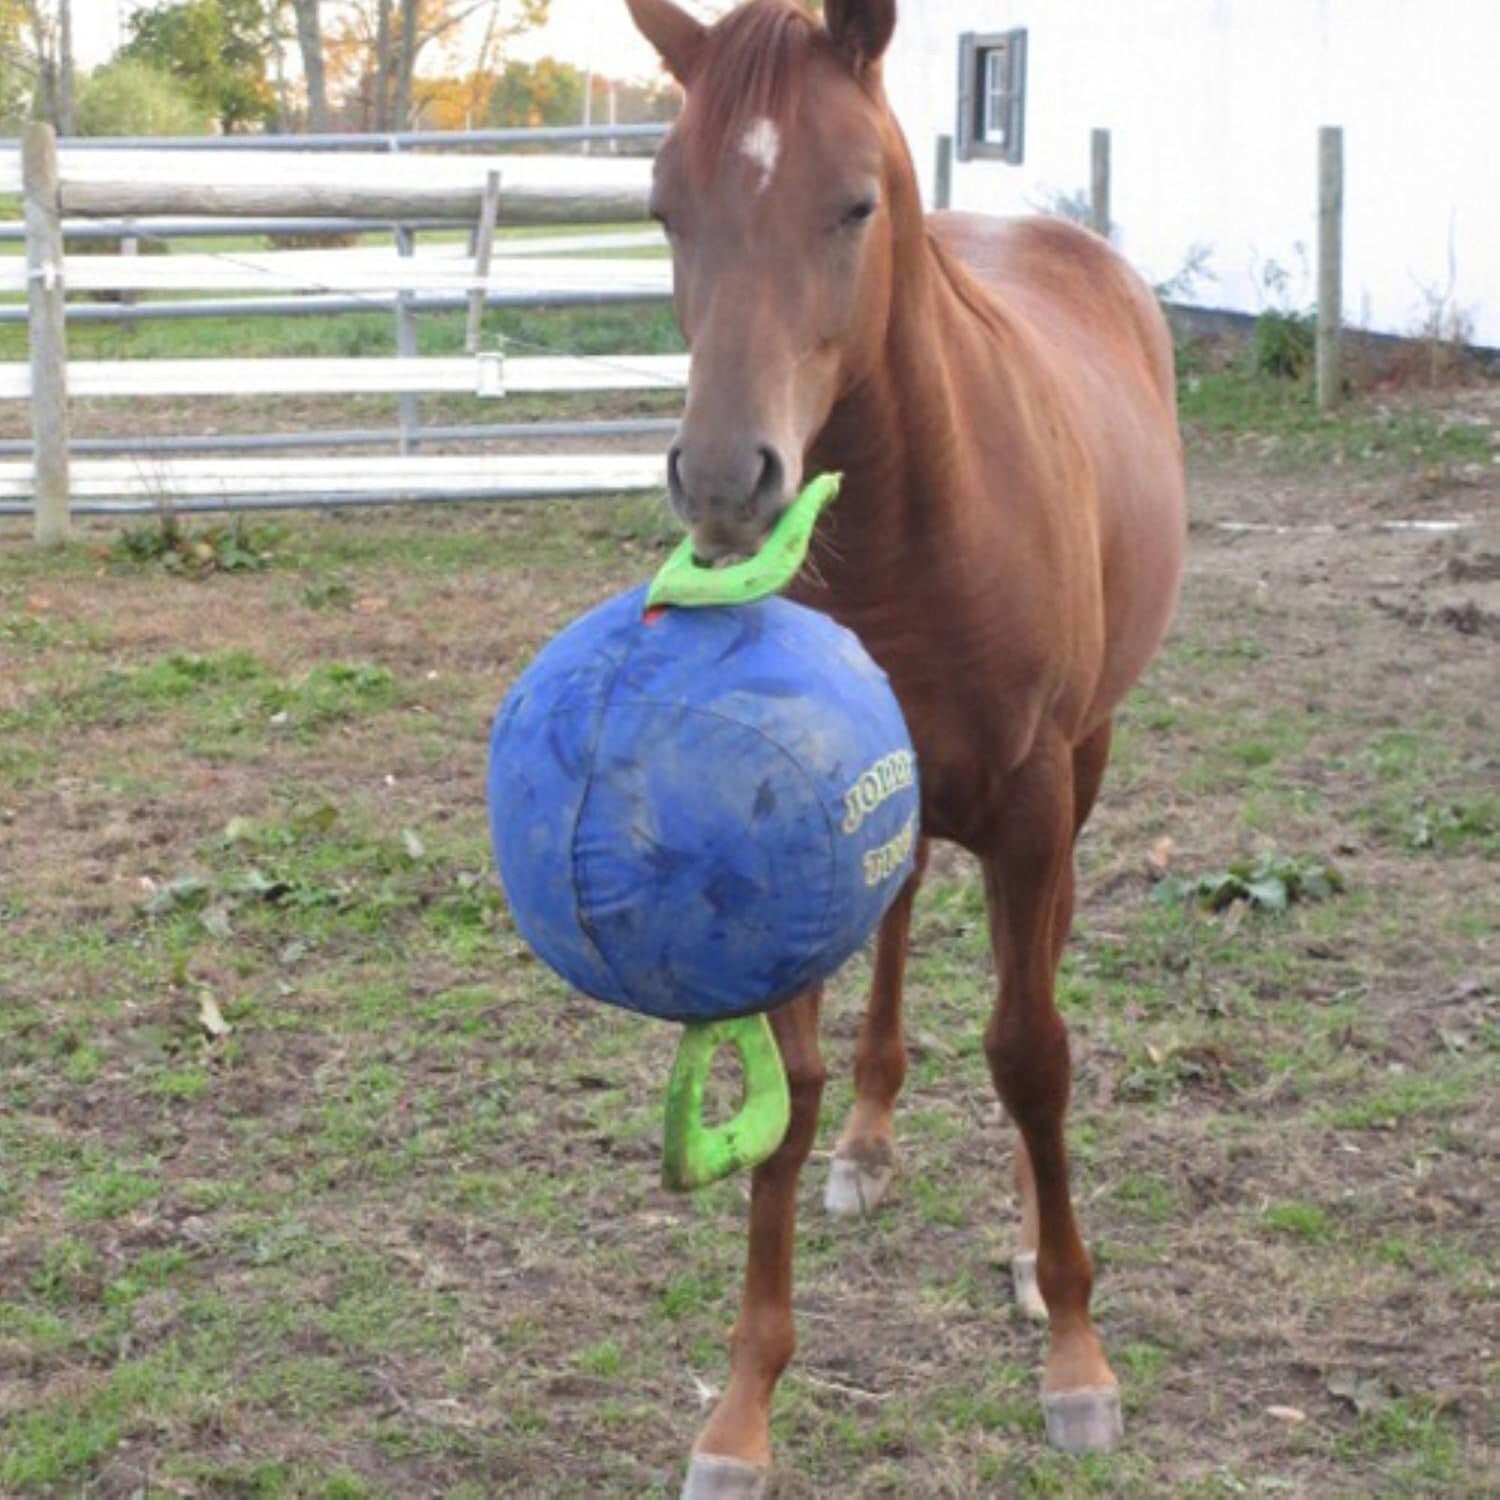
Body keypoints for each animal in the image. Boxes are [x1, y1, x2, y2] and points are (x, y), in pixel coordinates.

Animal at [622, 2, 1187, 1493]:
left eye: (856, 203)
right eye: (664, 207)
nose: (724, 482)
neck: (915, 530)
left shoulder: (1035, 801)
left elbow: (1031, 1049)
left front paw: (1076, 1352)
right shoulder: (799, 813)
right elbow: (791, 1084)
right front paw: (742, 1412)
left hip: (1083, 763)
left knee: (1034, 963)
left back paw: (1025, 1241)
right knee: (903, 911)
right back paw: (873, 1144)